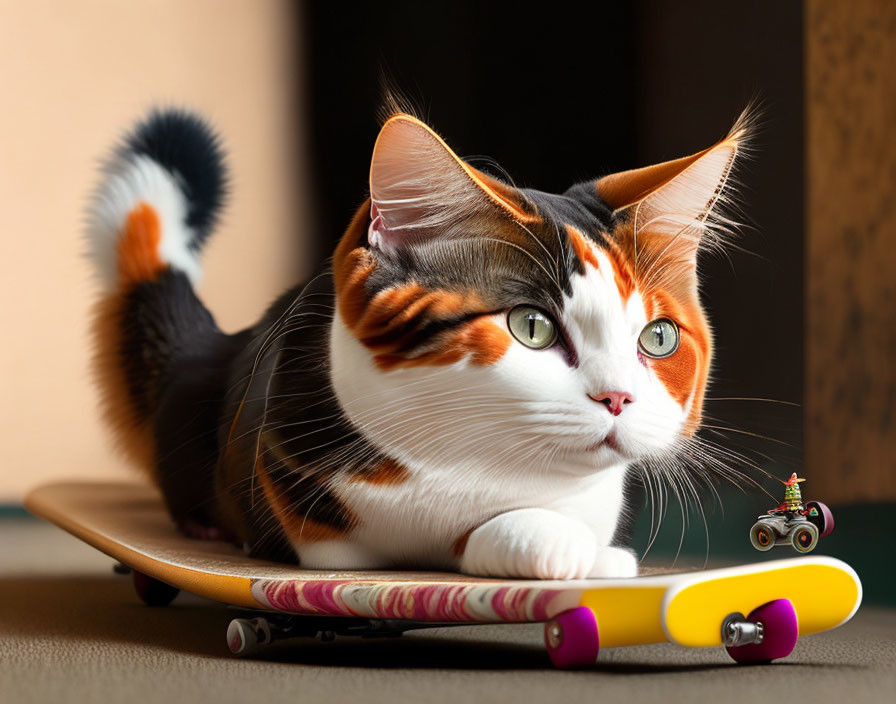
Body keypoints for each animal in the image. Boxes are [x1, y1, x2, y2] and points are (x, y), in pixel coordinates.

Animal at [87, 106, 744, 576]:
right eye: (531, 327)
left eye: (658, 337)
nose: (619, 398)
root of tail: (219, 349)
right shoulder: (304, 502)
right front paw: (551, 543)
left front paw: (586, 547)